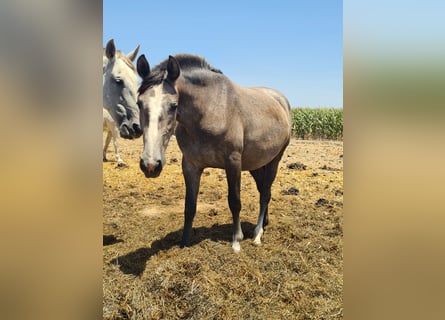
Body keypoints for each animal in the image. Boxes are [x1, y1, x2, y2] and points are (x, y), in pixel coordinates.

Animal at [136, 53, 292, 251]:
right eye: (139, 103)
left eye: (173, 105)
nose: (150, 165)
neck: (211, 110)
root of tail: (281, 100)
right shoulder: (190, 165)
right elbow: (189, 206)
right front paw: (184, 242)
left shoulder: (233, 162)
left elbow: (234, 201)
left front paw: (236, 240)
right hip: (256, 163)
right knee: (263, 189)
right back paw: (264, 222)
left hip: (274, 160)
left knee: (265, 194)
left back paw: (257, 233)